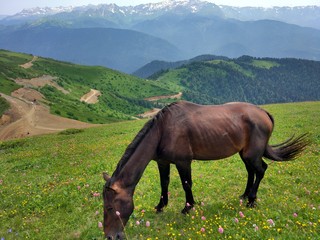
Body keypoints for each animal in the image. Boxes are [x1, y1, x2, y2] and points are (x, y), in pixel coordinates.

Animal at [102, 100, 308, 239]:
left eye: (110, 207)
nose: (111, 236)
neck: (163, 130)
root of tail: (264, 112)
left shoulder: (183, 162)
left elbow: (186, 184)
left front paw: (188, 207)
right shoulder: (162, 162)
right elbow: (164, 183)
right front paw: (161, 206)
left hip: (252, 155)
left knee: (261, 170)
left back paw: (251, 200)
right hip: (244, 154)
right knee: (251, 172)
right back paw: (244, 195)